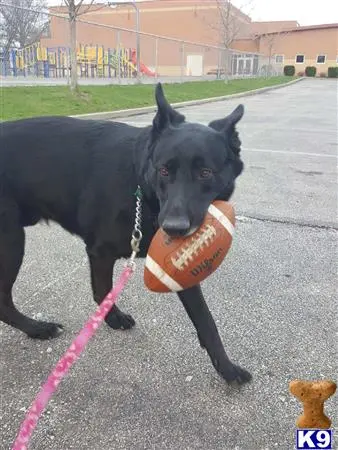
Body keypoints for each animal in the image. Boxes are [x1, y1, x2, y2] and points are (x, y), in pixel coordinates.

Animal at [0, 83, 251, 384]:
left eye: (205, 172)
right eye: (164, 170)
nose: (174, 227)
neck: (140, 184)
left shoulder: (181, 271)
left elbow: (206, 320)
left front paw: (226, 367)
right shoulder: (100, 253)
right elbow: (103, 292)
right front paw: (113, 319)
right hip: (12, 242)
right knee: (3, 302)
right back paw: (37, 329)